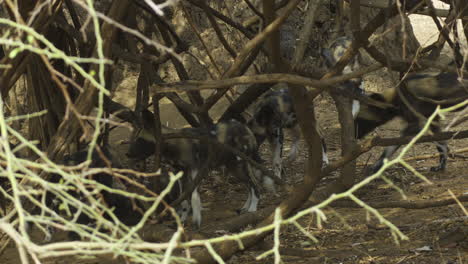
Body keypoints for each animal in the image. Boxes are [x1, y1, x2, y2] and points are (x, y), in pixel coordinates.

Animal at [126, 109, 276, 229]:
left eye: (140, 140)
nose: (127, 154)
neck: (174, 145)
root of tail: (244, 127)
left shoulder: (194, 171)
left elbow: (194, 198)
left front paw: (196, 221)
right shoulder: (180, 173)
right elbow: (184, 199)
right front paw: (181, 221)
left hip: (242, 164)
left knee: (255, 185)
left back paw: (252, 210)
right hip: (234, 168)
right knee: (249, 186)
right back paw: (245, 208)